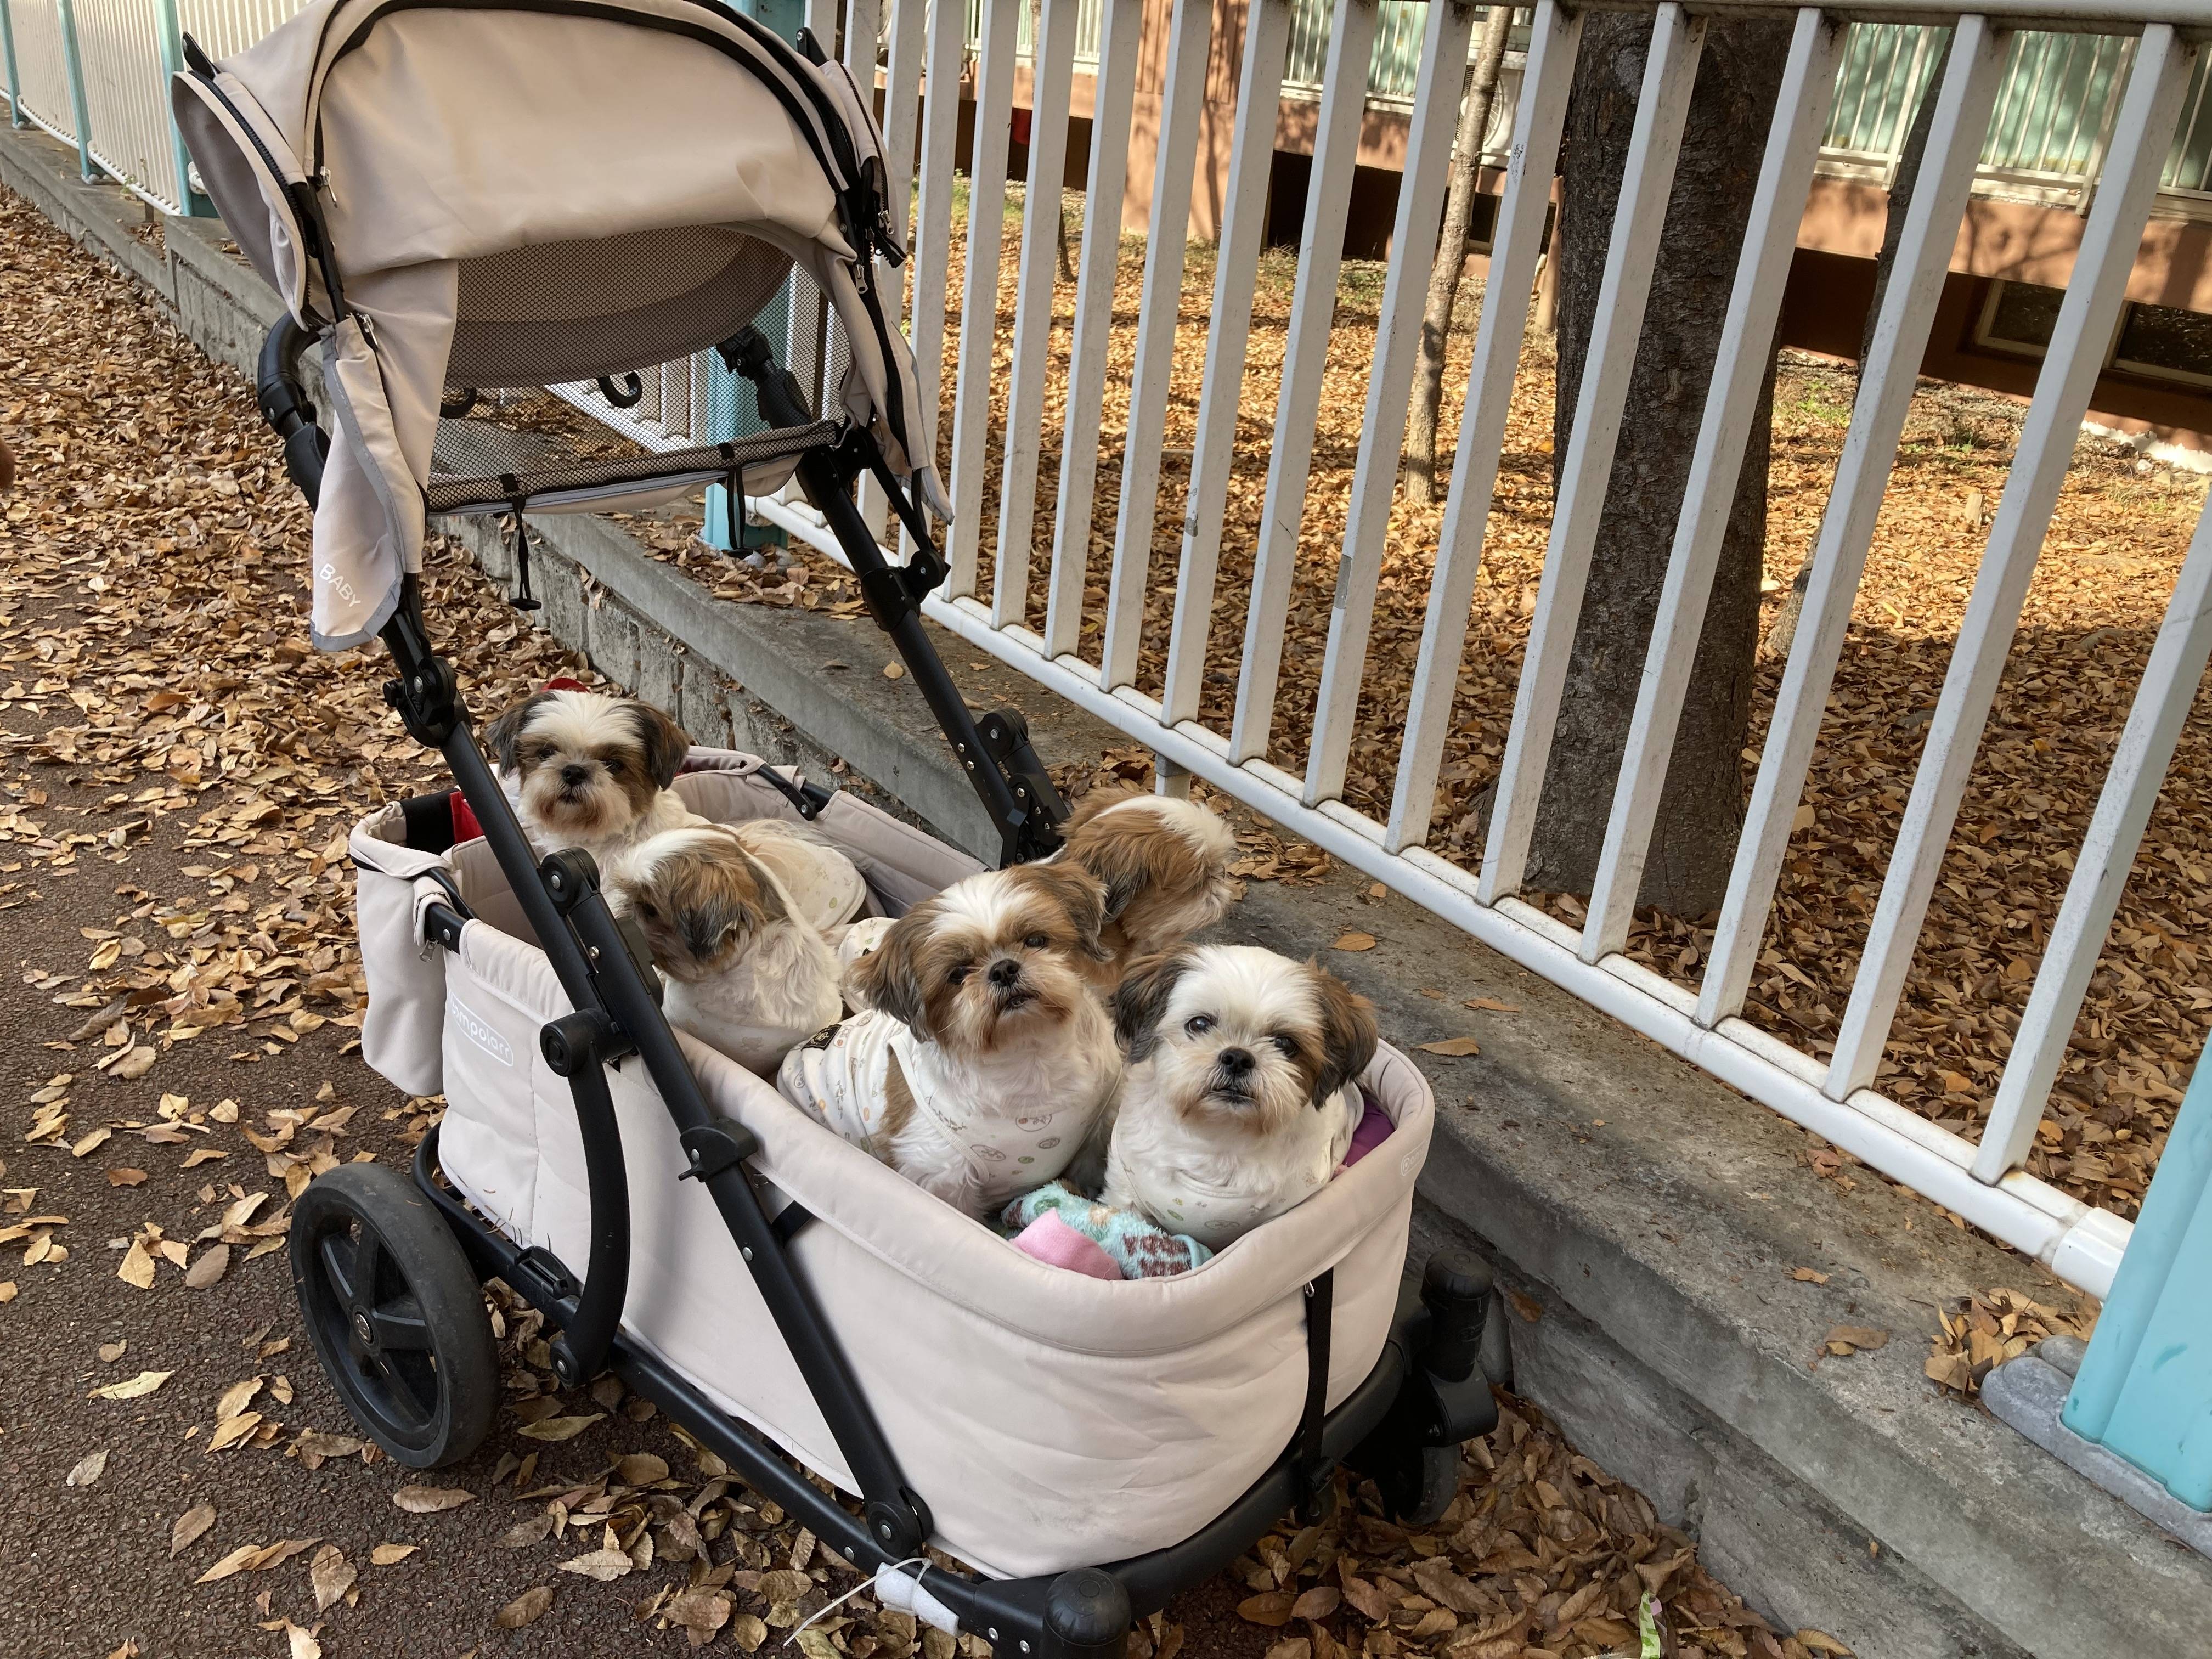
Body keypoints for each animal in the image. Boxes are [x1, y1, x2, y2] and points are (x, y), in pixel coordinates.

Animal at [778, 862, 1124, 1212]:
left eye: (1036, 940)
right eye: (957, 974)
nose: (1003, 969)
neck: (1030, 1055)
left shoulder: (1095, 1132)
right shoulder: (943, 1176)